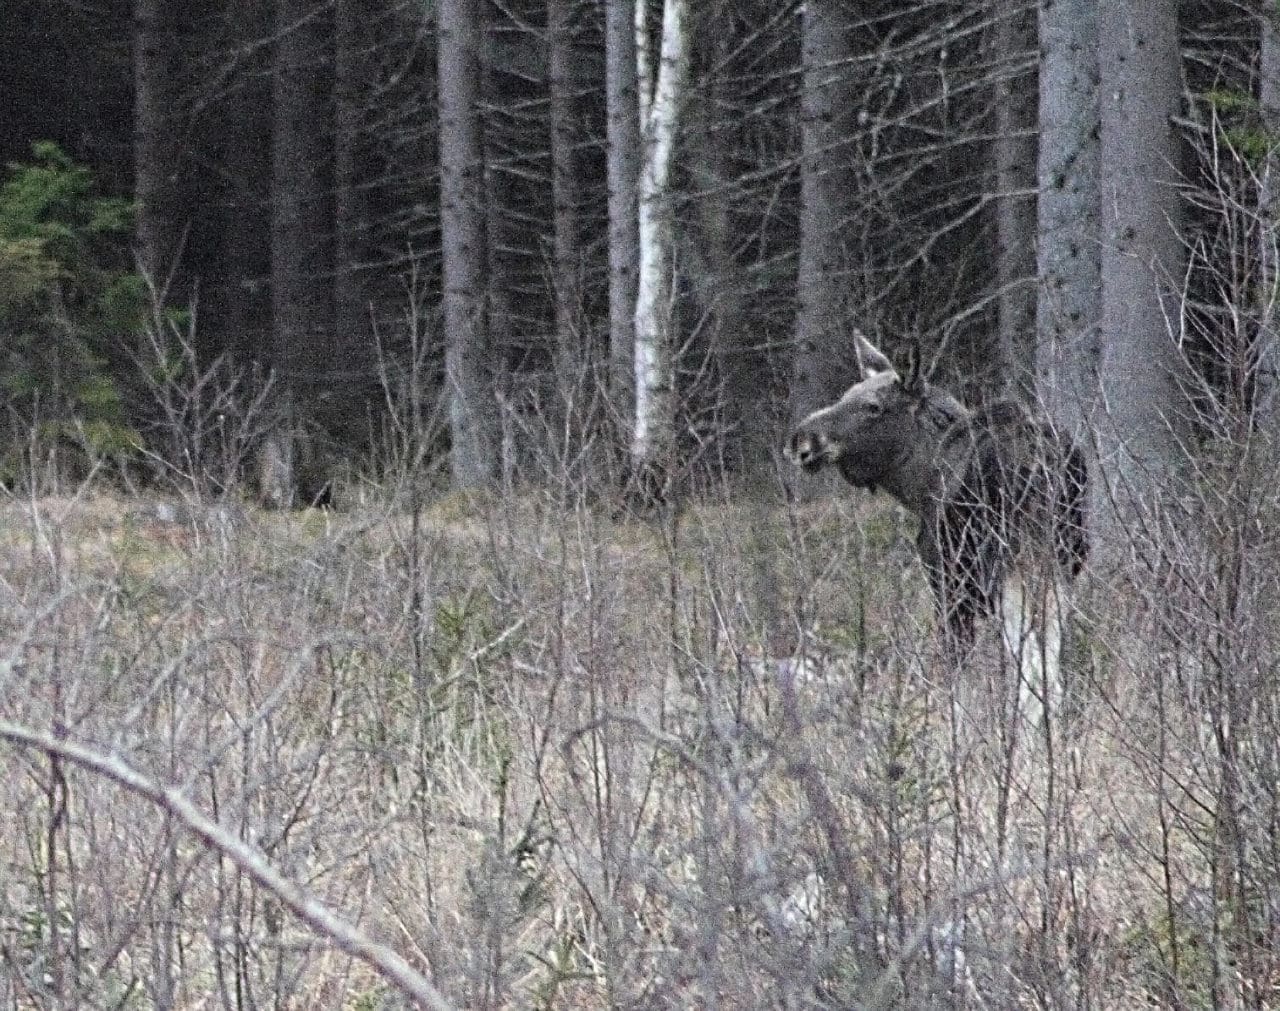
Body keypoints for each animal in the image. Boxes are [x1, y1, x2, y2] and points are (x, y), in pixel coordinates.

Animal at [788, 335, 1090, 726]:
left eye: (873, 406)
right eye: (845, 395)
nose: (801, 440)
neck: (919, 484)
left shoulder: (949, 581)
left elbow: (957, 680)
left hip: (1005, 562)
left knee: (1029, 664)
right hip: (1062, 560)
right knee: (1051, 666)